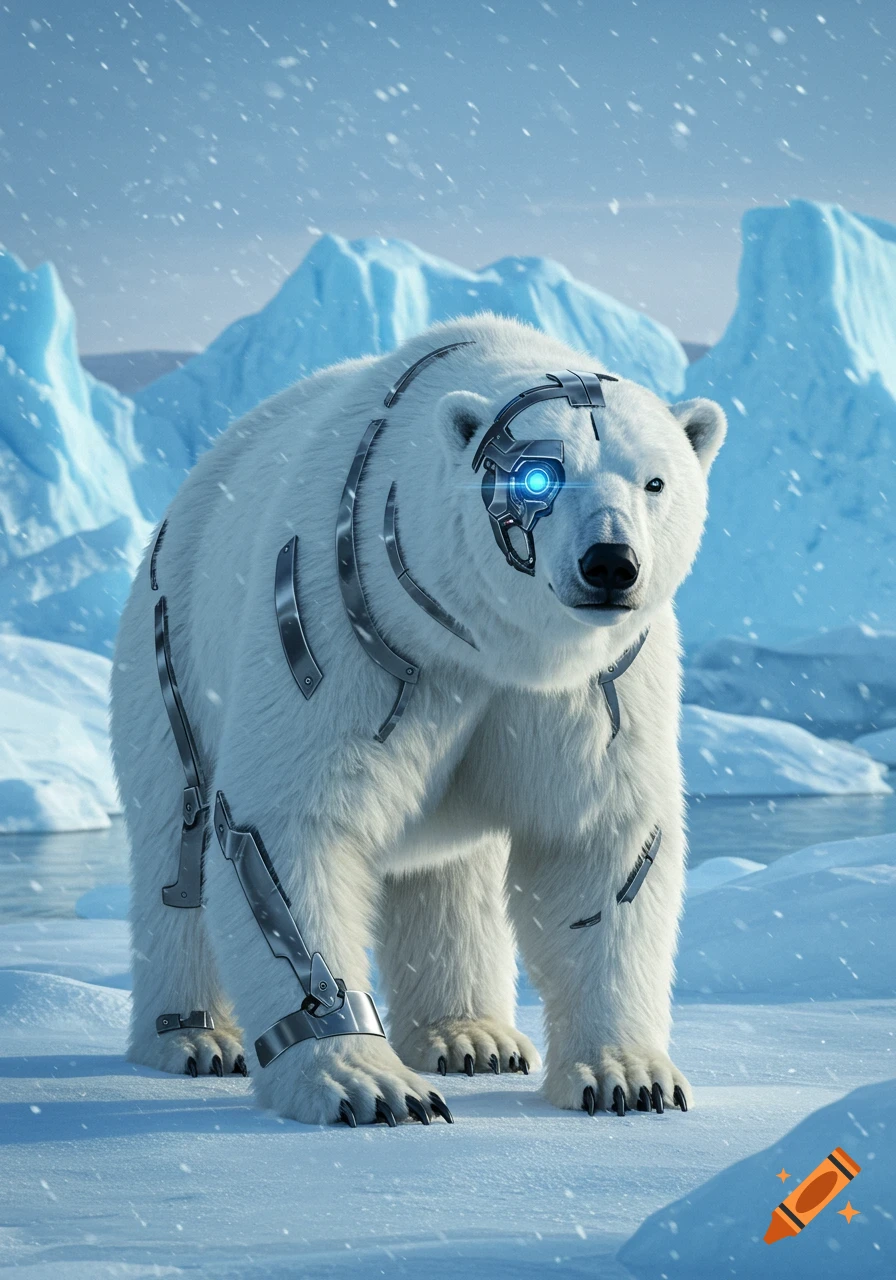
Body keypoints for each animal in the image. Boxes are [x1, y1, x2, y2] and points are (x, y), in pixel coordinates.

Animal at [110, 313, 726, 1126]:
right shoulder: (345, 624)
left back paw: (472, 1037)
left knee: (448, 876)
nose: (610, 563)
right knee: (175, 842)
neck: (488, 643)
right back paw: (197, 1038)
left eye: (654, 480)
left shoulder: (592, 688)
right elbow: (288, 824)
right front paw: (369, 1086)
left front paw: (629, 1078)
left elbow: (597, 840)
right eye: (539, 476)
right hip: (170, 644)